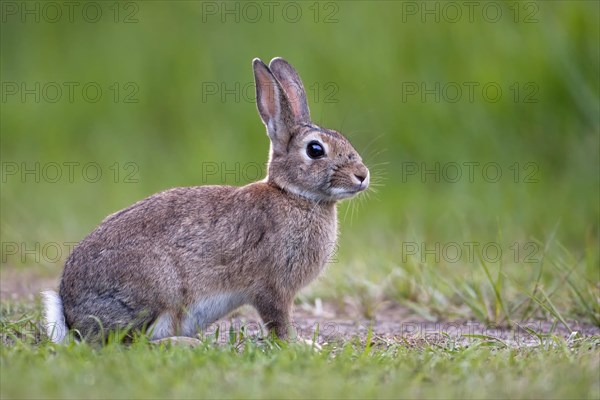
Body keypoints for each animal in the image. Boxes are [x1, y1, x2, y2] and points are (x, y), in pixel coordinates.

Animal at [41, 57, 370, 344]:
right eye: (315, 150)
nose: (362, 175)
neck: (293, 194)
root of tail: (71, 317)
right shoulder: (272, 287)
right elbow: (278, 322)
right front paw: (301, 345)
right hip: (158, 289)